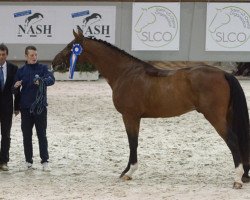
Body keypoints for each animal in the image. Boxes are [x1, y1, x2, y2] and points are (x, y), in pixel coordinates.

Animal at [52, 30, 250, 188]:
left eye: (71, 46)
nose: (54, 62)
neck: (125, 73)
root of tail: (223, 73)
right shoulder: (135, 117)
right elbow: (134, 142)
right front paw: (126, 172)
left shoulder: (130, 116)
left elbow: (132, 142)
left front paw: (129, 172)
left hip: (215, 117)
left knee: (232, 141)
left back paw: (237, 179)